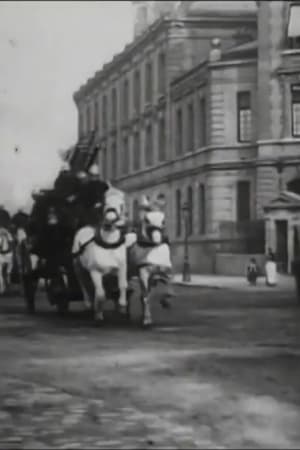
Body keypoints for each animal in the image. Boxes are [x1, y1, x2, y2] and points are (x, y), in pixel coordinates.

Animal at [73, 185, 128, 324]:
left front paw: (122, 306)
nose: (109, 222)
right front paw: (98, 314)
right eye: (104, 203)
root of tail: (85, 227)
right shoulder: (95, 271)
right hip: (78, 266)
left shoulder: (122, 268)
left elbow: (122, 285)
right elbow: (101, 295)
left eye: (122, 205)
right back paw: (88, 303)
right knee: (83, 283)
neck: (108, 245)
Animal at [127, 193, 173, 326]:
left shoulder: (165, 271)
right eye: (147, 220)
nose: (157, 241)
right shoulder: (143, 272)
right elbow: (145, 296)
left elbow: (169, 290)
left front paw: (165, 301)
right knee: (128, 292)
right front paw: (147, 320)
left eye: (163, 220)